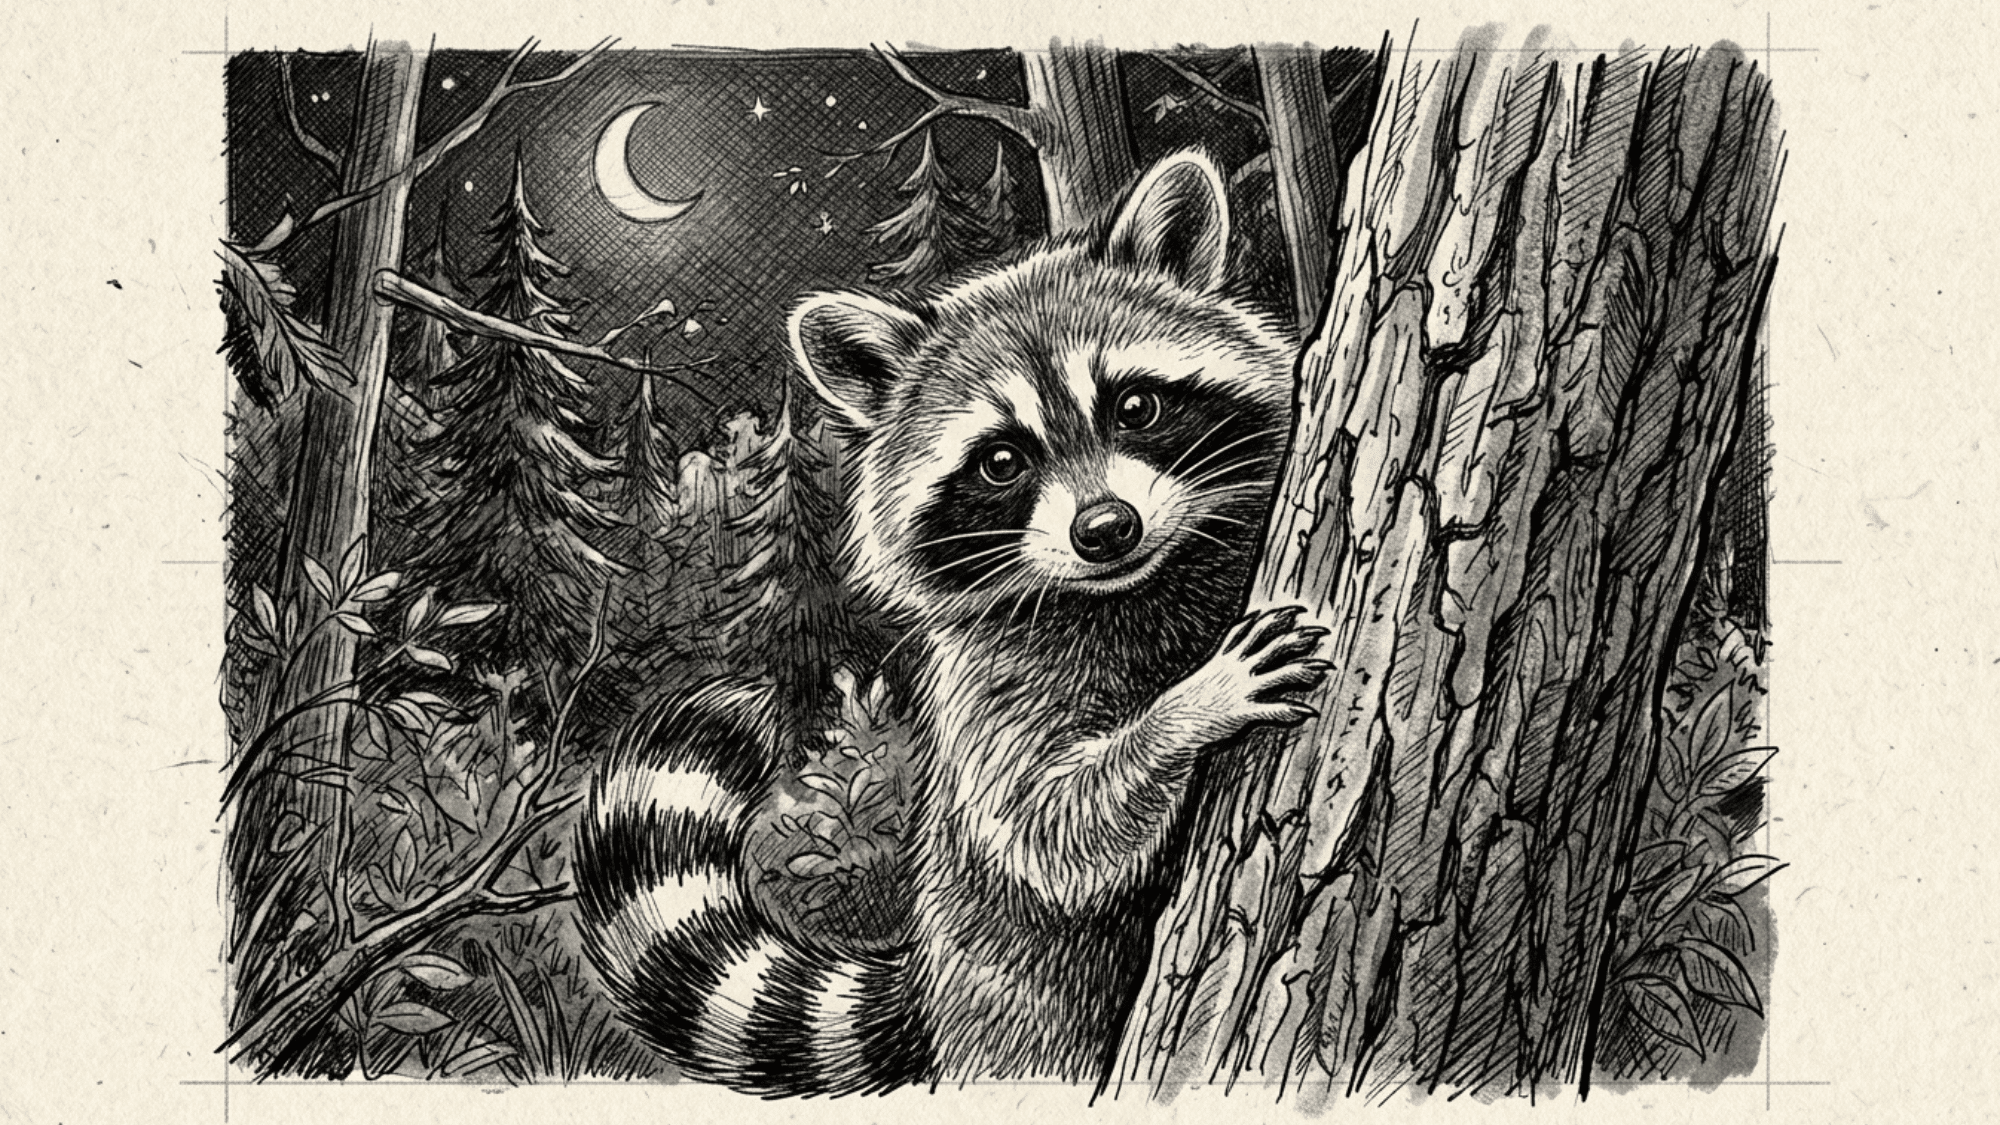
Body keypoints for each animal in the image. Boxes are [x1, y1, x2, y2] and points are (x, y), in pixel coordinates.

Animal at [574, 151, 1330, 1095]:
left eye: (1136, 408)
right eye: (1001, 461)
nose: (1106, 529)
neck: (1138, 586)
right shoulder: (986, 690)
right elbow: (1052, 831)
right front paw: (1186, 711)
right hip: (1012, 1003)